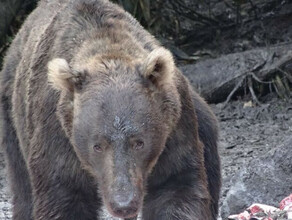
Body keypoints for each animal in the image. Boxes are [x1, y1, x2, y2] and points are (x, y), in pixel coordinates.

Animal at [0, 0, 219, 220]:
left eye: (139, 142)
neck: (107, 49)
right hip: (13, 115)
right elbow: (64, 195)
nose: (123, 203)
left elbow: (176, 185)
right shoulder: (57, 132)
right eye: (97, 145)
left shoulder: (174, 127)